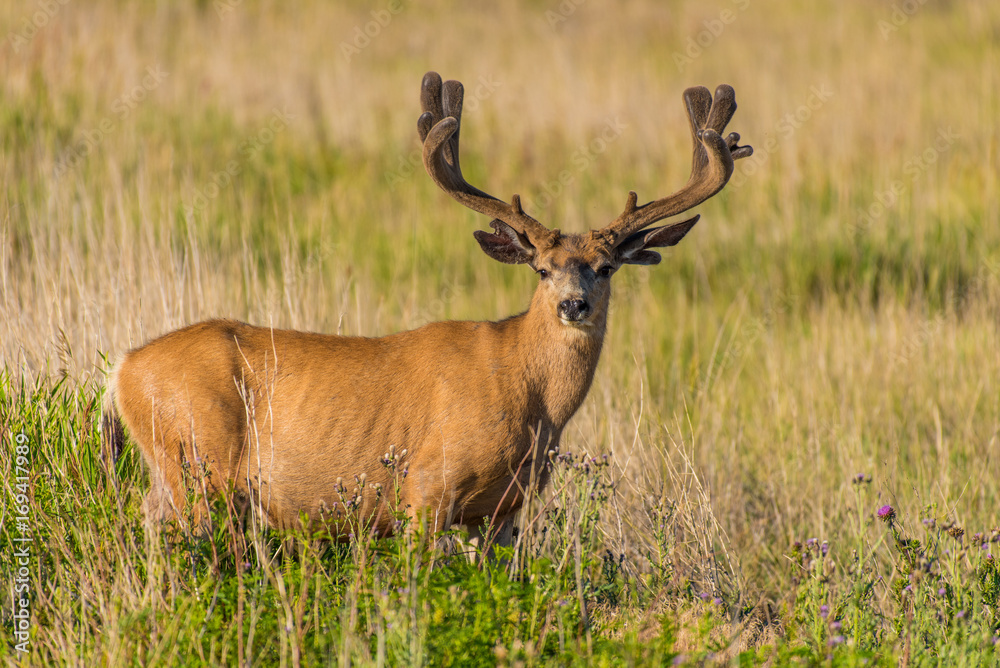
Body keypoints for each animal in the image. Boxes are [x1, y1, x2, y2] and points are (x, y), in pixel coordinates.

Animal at [102, 71, 752, 554]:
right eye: (541, 269)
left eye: (608, 266)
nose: (574, 304)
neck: (528, 393)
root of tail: (122, 370)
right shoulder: (425, 490)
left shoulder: (503, 511)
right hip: (195, 462)